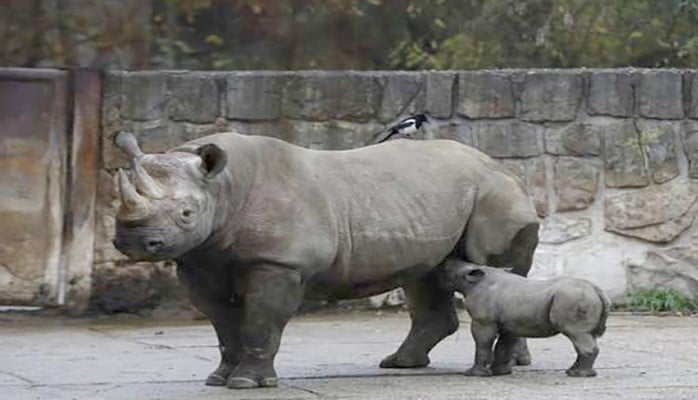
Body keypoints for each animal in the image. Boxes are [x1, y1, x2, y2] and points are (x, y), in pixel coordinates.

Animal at [113, 131, 540, 388]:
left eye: (186, 214)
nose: (132, 241)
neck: (223, 188)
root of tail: (506, 167)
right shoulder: (201, 258)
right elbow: (221, 322)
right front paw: (219, 378)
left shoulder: (279, 263)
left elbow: (261, 319)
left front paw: (248, 382)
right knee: (427, 273)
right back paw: (400, 364)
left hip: (495, 196)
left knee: (489, 266)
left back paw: (510, 364)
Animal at [440, 260, 608, 378]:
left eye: (446, 270)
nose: (444, 262)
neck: (471, 279)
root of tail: (596, 290)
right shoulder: (510, 323)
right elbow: (503, 345)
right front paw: (501, 372)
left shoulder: (483, 321)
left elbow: (483, 343)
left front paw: (474, 374)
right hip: (579, 297)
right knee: (584, 335)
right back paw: (574, 372)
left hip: (573, 298)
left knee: (576, 333)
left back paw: (578, 375)